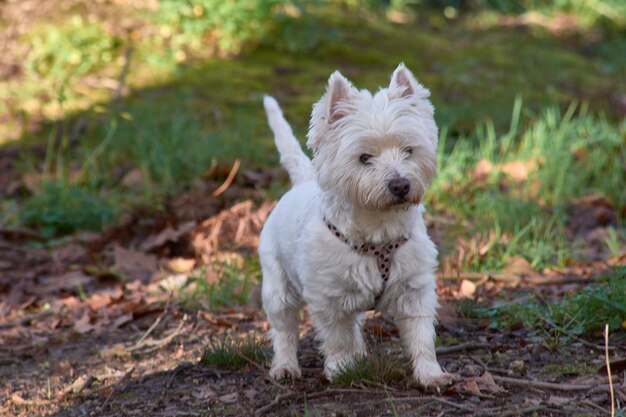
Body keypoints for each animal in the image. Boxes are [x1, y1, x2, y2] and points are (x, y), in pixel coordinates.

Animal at [256, 64, 450, 386]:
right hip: (276, 285)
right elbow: (336, 337)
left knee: (354, 324)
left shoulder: (415, 289)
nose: (400, 185)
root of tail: (303, 182)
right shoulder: (328, 297)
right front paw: (340, 370)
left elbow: (421, 336)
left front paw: (431, 375)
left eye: (408, 150)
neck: (378, 230)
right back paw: (285, 367)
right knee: (284, 328)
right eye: (364, 157)